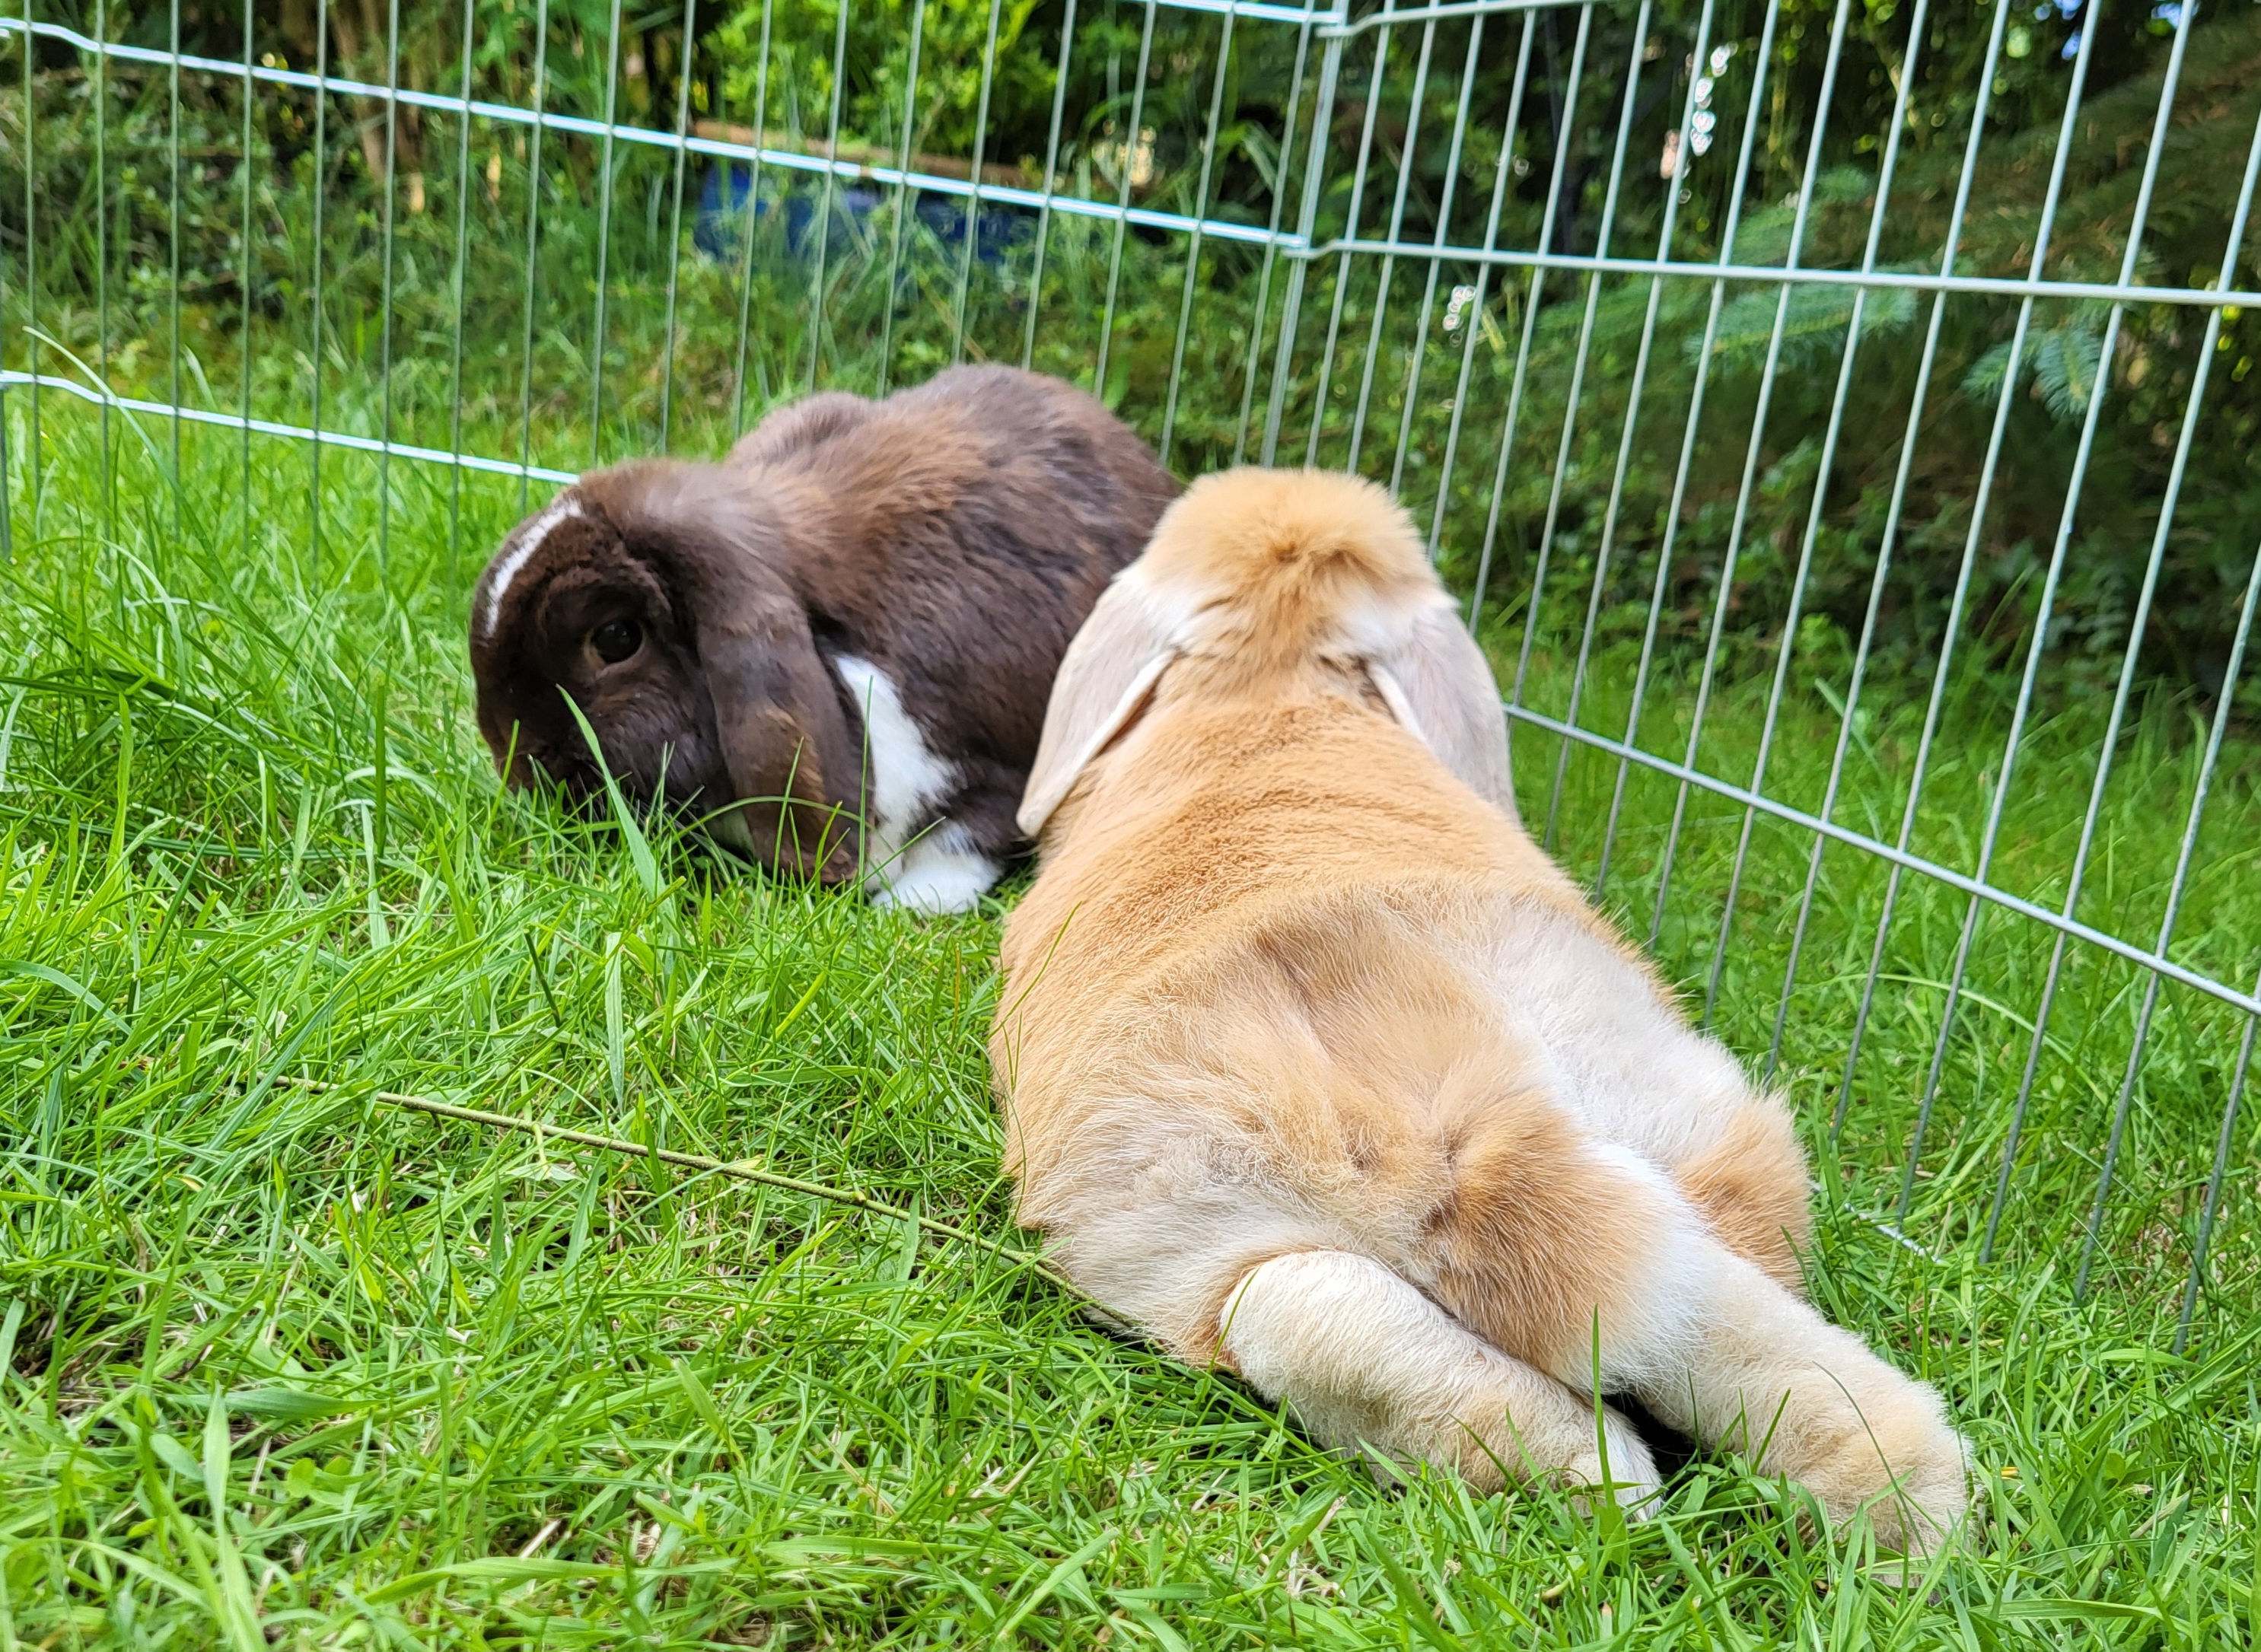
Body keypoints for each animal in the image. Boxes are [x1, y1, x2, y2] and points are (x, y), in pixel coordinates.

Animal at [989, 468, 1971, 1553]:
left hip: (1185, 1250)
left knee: (1312, 1311)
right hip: (1669, 1115)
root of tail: (1432, 1143)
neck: (1267, 681)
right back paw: (1908, 1516)